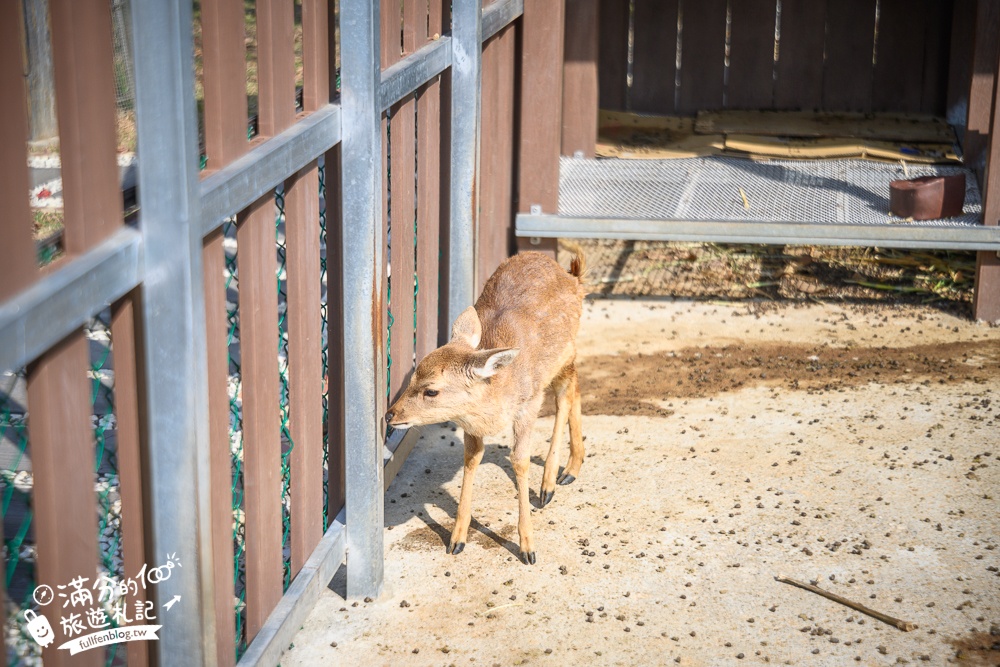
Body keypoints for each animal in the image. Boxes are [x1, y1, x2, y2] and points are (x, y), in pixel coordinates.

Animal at [382, 250, 584, 564]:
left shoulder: (528, 404)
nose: (390, 415)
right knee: (575, 389)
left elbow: (520, 460)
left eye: (431, 390)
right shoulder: (470, 425)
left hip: (564, 354)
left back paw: (549, 485)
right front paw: (457, 539)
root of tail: (574, 277)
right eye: (413, 376)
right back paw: (571, 469)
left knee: (565, 394)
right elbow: (472, 458)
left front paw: (528, 547)